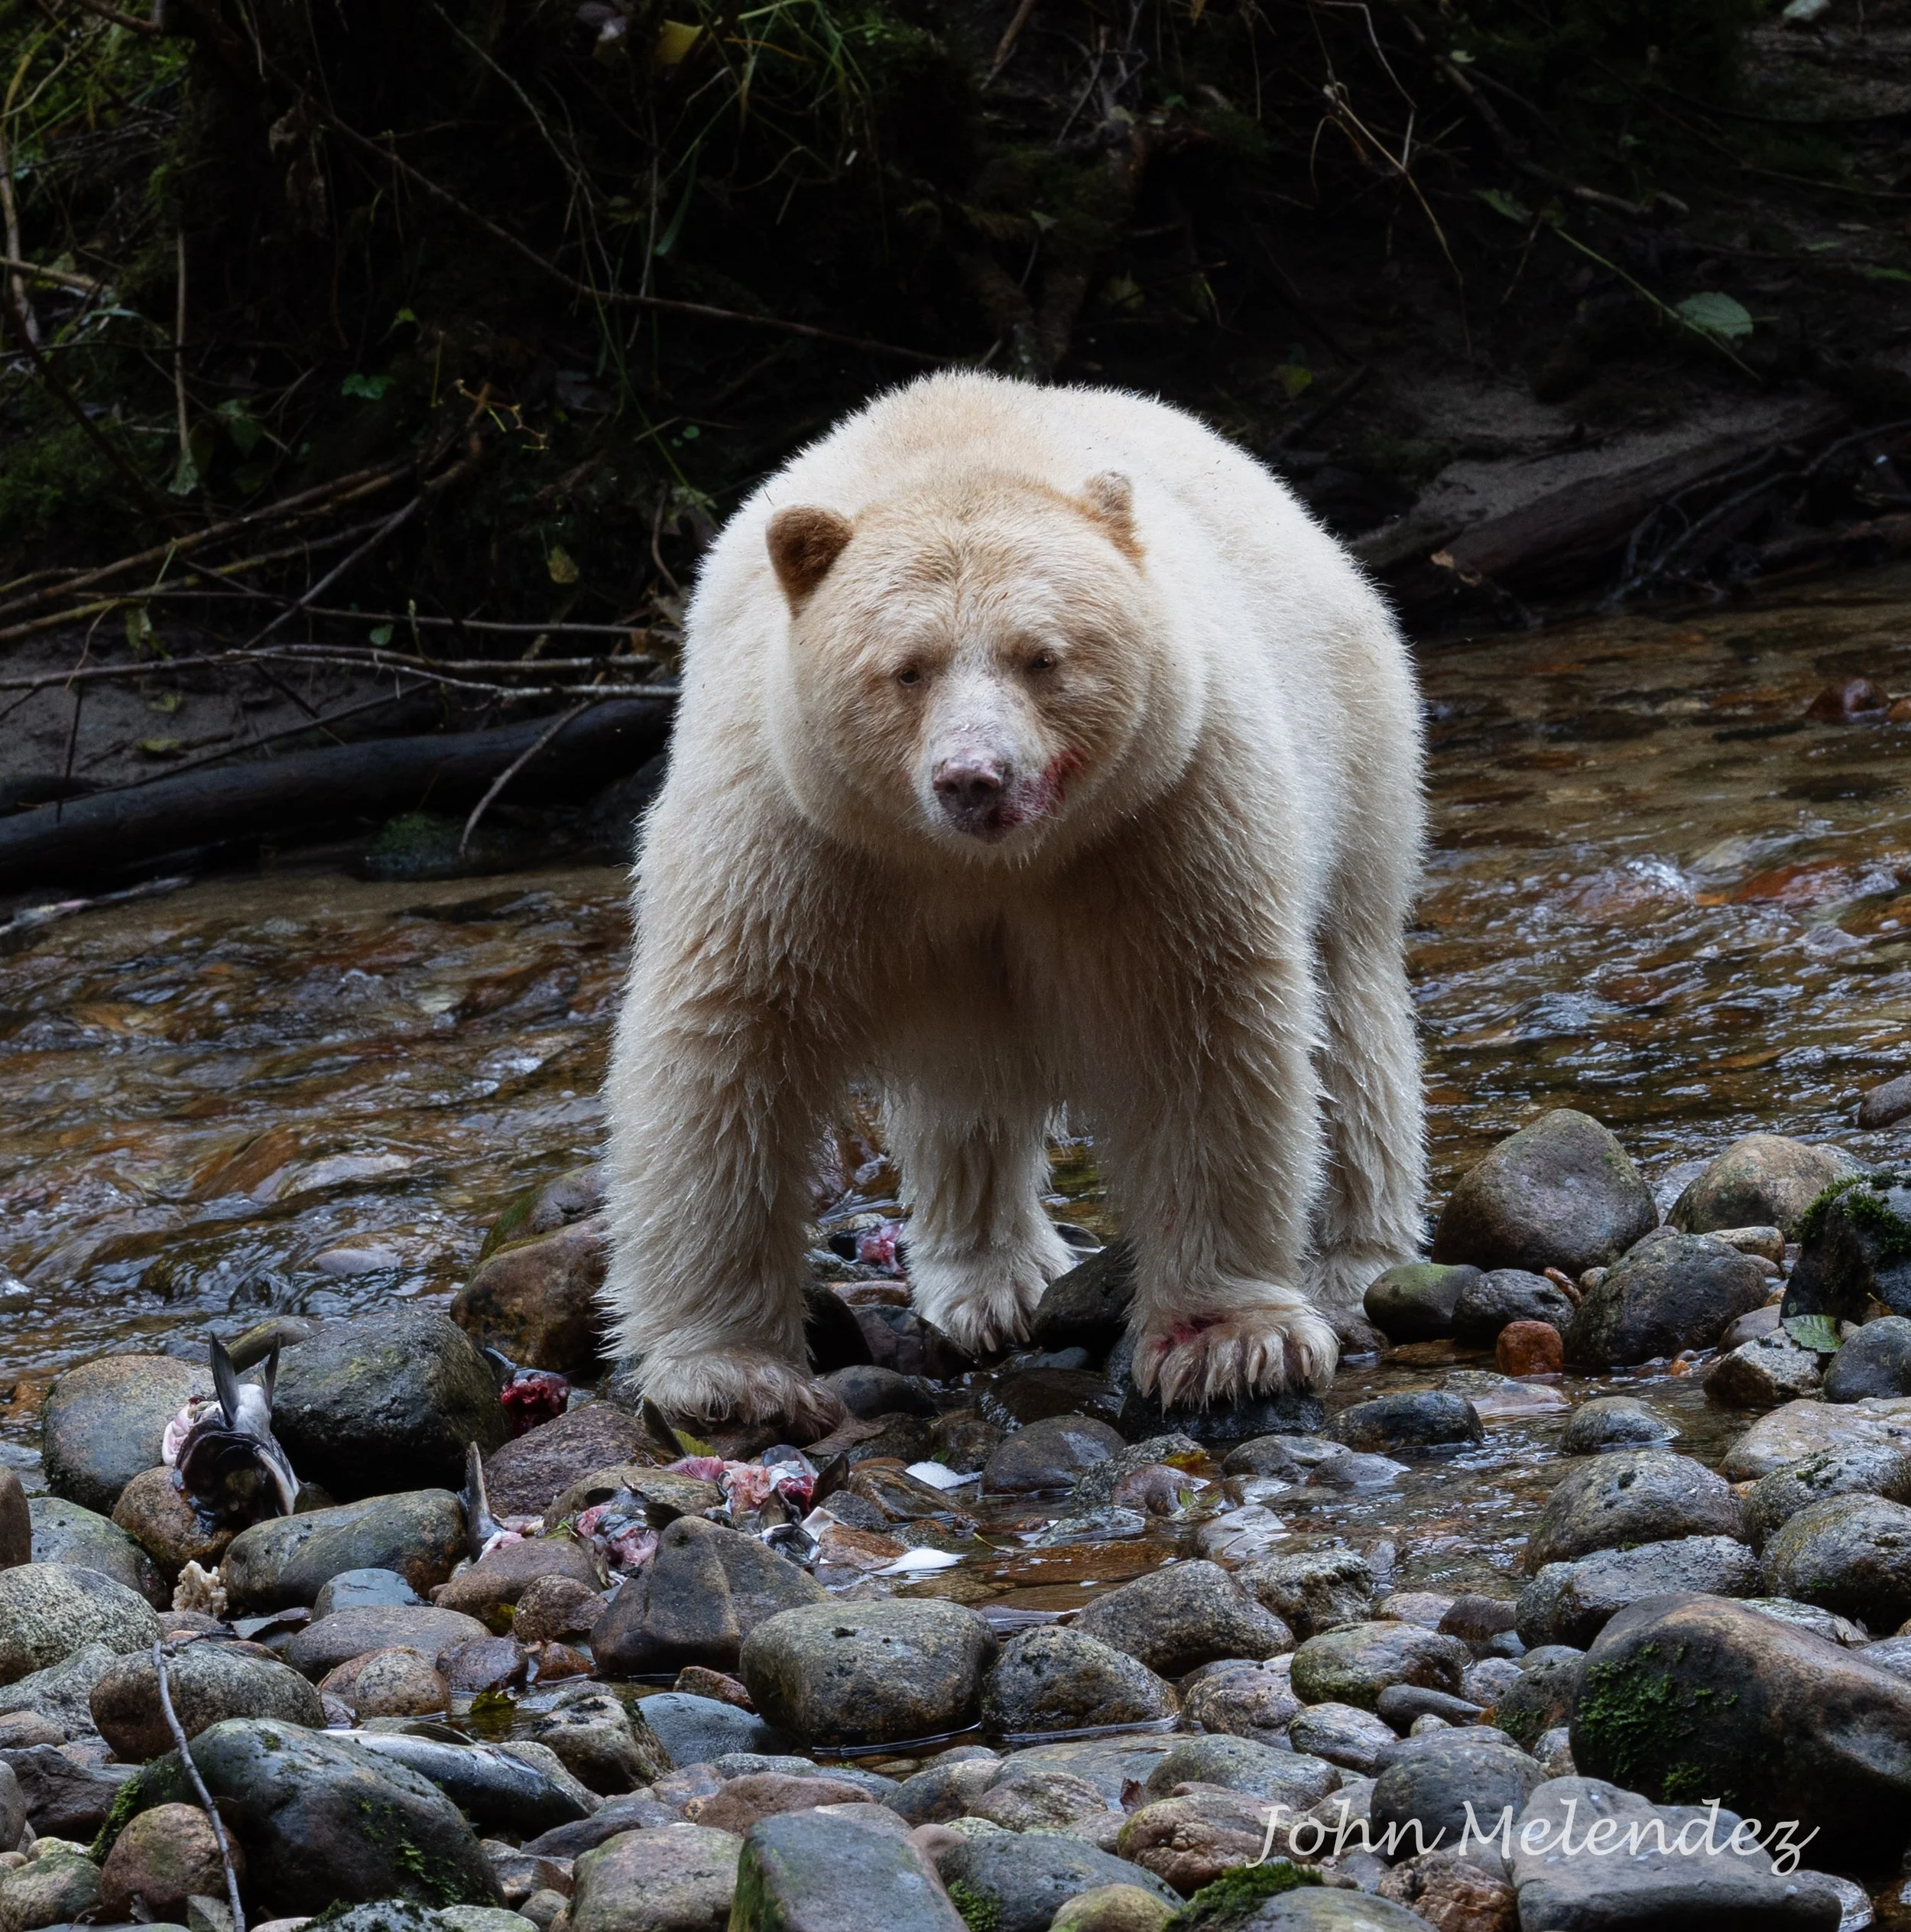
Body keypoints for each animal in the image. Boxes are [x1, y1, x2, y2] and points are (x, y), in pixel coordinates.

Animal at [602, 370, 1425, 1432]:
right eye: (905, 668)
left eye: (1043, 656)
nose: (973, 778)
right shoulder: (795, 830)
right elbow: (728, 1043)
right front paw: (731, 1378)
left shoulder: (1164, 817)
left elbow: (1203, 1033)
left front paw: (1231, 1344)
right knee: (966, 1089)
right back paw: (989, 1280)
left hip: (1354, 748)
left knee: (1351, 1007)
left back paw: (1354, 1261)